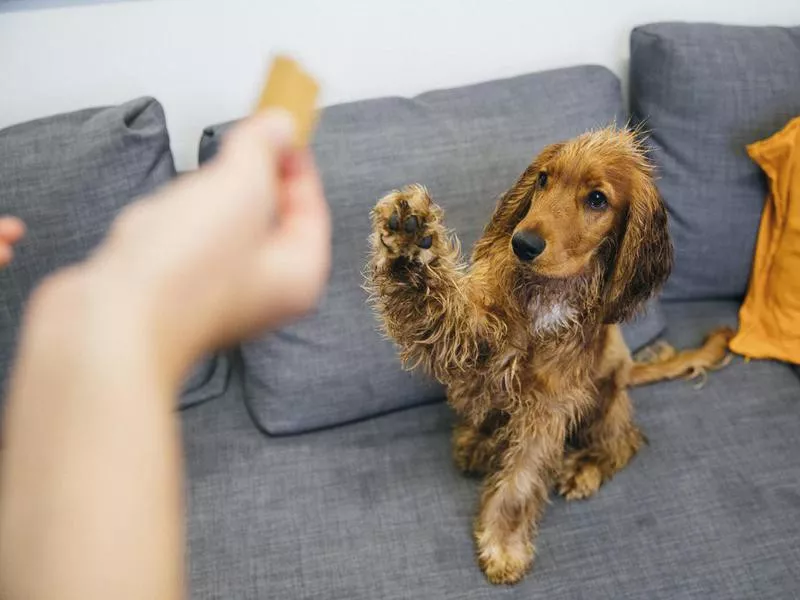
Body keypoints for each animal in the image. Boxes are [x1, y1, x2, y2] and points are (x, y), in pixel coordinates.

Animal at [366, 125, 736, 580]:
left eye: (597, 199)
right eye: (543, 179)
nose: (521, 243)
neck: (547, 298)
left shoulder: (548, 407)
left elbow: (521, 481)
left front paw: (504, 544)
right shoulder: (476, 337)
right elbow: (441, 305)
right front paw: (408, 240)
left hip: (606, 399)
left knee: (626, 440)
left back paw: (585, 468)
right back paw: (477, 440)